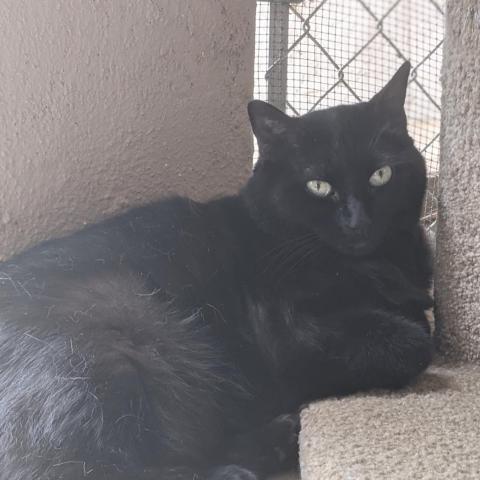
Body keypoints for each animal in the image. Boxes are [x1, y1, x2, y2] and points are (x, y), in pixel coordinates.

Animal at [0, 62, 434, 478]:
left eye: (381, 175)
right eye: (318, 186)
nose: (356, 222)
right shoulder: (287, 334)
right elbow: (415, 343)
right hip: (120, 327)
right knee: (82, 466)